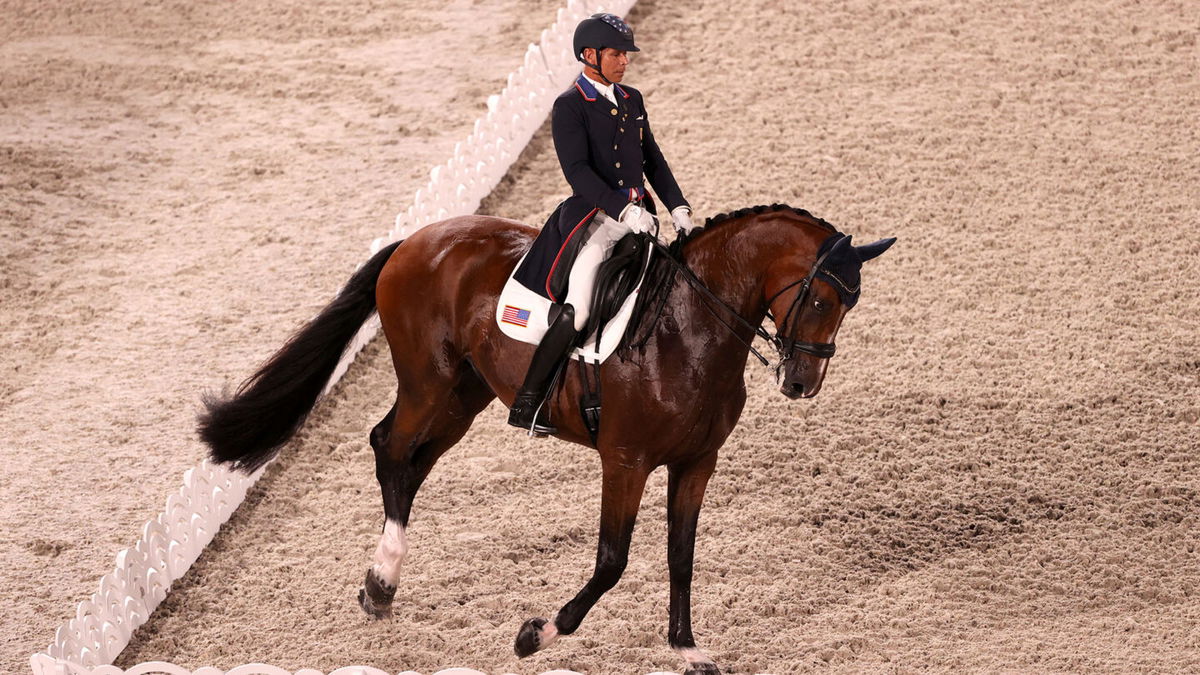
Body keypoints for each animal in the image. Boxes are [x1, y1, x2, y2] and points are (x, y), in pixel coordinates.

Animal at [199, 204, 892, 672]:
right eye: (821, 298)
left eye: (850, 303)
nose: (802, 382)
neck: (688, 331)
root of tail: (416, 240)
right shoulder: (625, 460)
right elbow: (612, 561)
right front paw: (537, 633)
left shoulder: (697, 462)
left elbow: (682, 555)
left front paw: (686, 649)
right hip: (429, 382)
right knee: (389, 448)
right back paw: (381, 585)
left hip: (466, 396)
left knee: (412, 464)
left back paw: (380, 586)